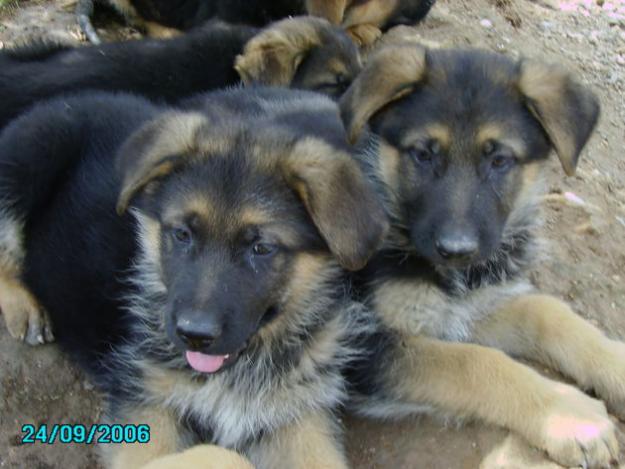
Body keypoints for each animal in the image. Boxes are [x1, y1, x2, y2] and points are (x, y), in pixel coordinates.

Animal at [338, 44, 624, 468]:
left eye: (499, 160)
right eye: (422, 154)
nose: (456, 250)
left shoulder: (469, 307)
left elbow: (547, 312)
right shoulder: (362, 344)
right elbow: (473, 362)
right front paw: (569, 417)